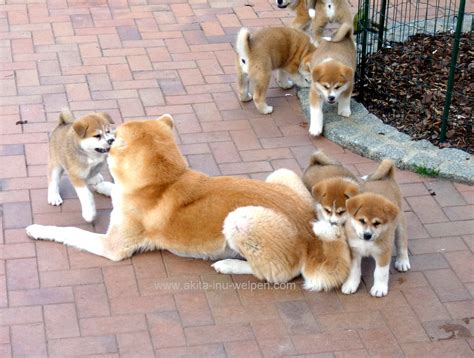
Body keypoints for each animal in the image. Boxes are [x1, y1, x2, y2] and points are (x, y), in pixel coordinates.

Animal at [26, 114, 352, 290]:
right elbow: (111, 188)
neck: (163, 181)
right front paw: (103, 186)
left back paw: (229, 265)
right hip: (281, 175)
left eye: (111, 135)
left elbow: (69, 232)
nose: (107, 140)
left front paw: (39, 229)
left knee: (277, 274)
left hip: (240, 219)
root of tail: (312, 235)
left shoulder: (113, 247)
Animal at [340, 159, 412, 296]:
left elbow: (380, 273)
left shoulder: (383, 252)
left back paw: (403, 262)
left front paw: (379, 288)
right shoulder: (354, 251)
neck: (366, 243)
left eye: (377, 223)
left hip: (400, 227)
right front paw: (351, 285)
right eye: (361, 220)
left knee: (402, 245)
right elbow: (354, 271)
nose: (367, 235)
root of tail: (388, 177)